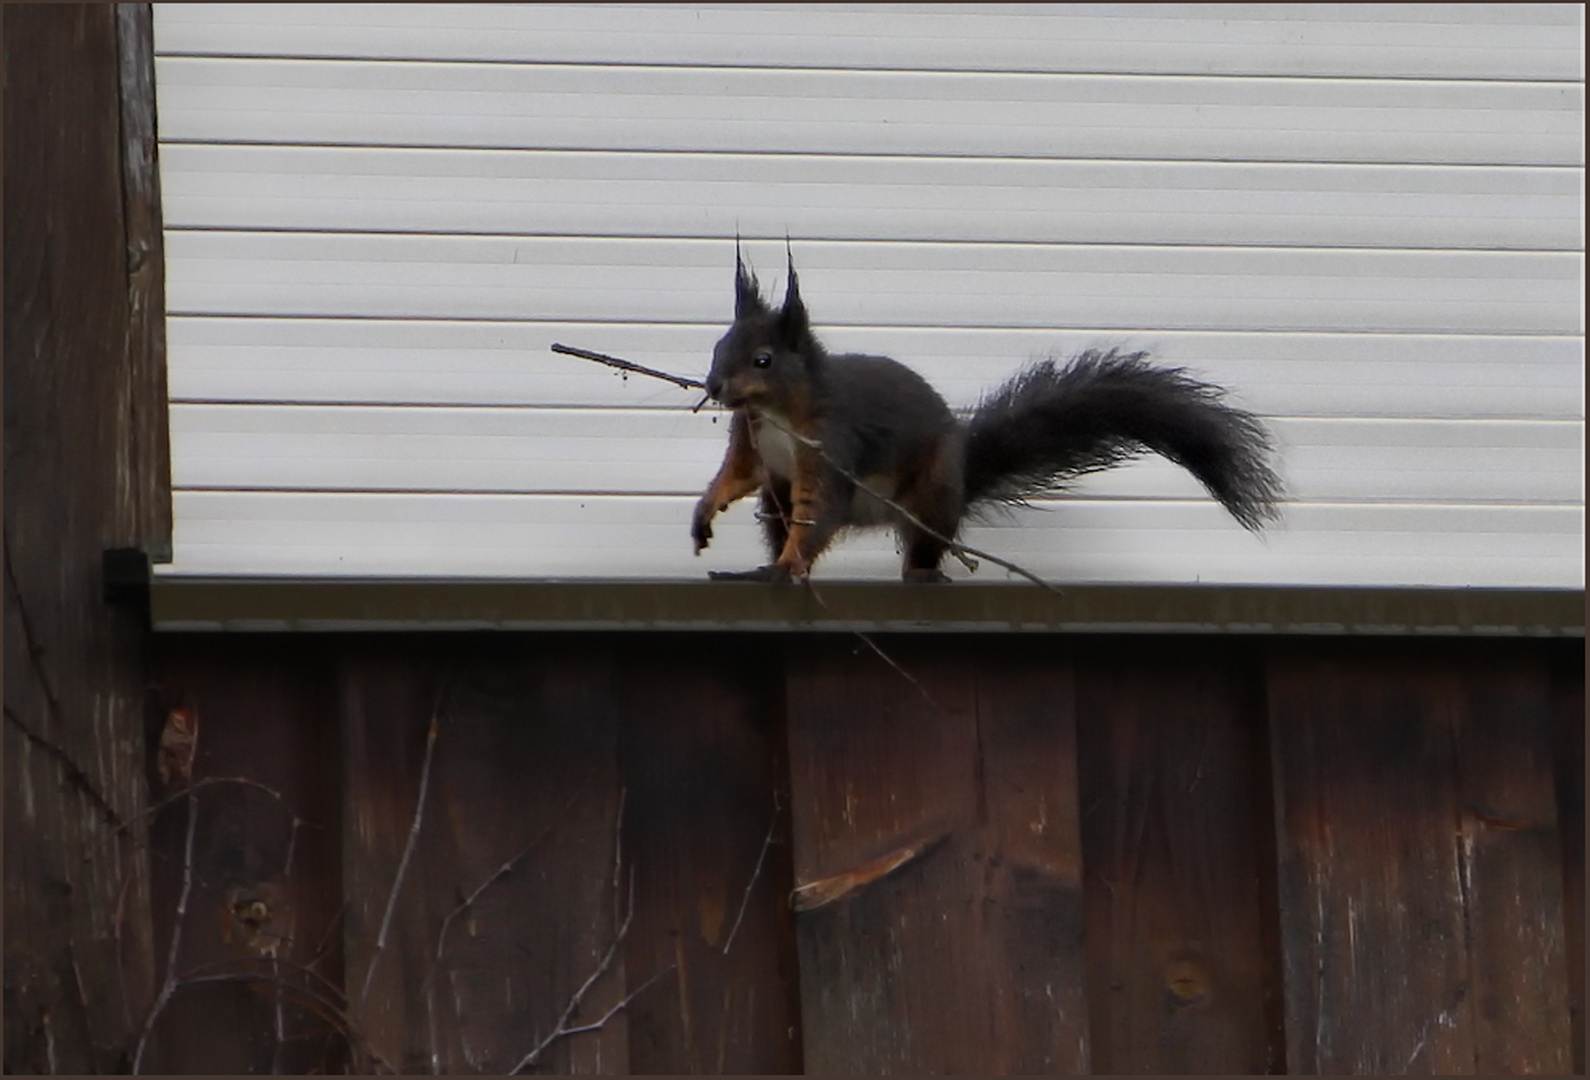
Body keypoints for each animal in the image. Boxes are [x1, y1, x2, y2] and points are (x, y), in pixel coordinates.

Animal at [693, 246, 1278, 582]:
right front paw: (705, 514)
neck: (776, 412)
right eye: (719, 345)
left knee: (925, 547)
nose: (713, 385)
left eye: (763, 360)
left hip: (931, 494)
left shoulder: (833, 443)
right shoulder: (751, 444)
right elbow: (735, 476)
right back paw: (760, 565)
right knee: (778, 521)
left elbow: (820, 511)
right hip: (778, 500)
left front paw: (790, 566)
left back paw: (916, 573)